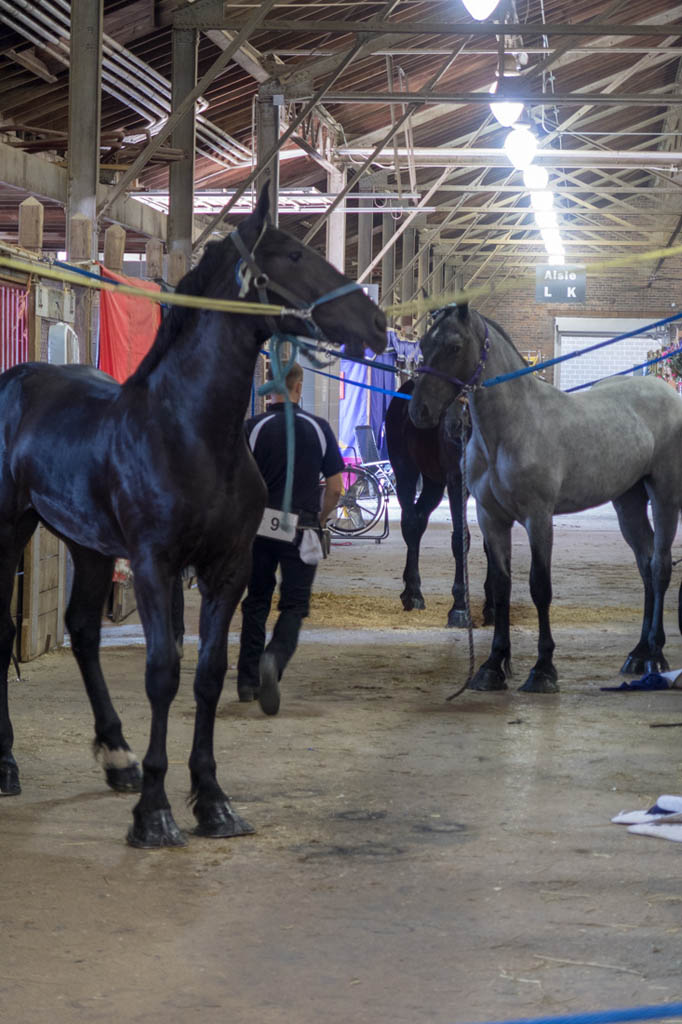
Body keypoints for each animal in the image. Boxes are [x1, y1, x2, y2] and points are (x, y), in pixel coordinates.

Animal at [0, 188, 385, 843]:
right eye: (292, 254)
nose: (379, 325)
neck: (188, 432)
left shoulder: (226, 569)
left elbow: (208, 673)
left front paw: (212, 801)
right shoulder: (155, 565)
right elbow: (163, 673)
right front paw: (154, 813)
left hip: (88, 546)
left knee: (82, 630)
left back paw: (118, 758)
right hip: (8, 530)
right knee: (3, 632)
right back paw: (8, 765)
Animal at [382, 380, 489, 626]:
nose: (456, 424)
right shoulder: (456, 481)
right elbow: (461, 539)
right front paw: (459, 609)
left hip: (433, 482)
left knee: (419, 519)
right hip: (406, 470)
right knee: (411, 523)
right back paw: (413, 594)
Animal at [405, 299, 679, 692]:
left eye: (455, 346)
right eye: (424, 345)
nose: (420, 411)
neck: (512, 428)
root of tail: (668, 393)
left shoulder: (538, 518)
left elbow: (540, 586)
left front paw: (543, 669)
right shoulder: (492, 518)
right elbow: (501, 586)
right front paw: (492, 666)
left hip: (665, 496)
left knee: (660, 566)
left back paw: (655, 654)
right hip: (628, 502)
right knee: (645, 563)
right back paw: (638, 653)